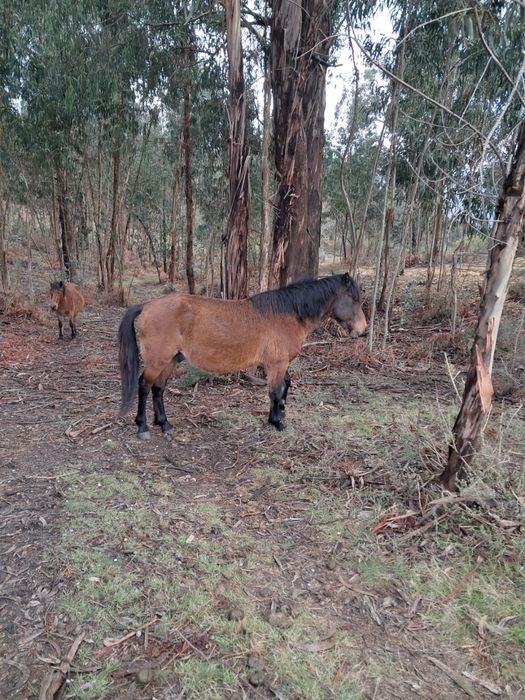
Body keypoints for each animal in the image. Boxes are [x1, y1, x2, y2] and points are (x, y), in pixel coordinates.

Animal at [118, 273, 367, 440]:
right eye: (354, 299)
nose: (363, 330)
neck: (287, 314)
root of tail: (146, 306)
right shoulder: (277, 363)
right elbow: (275, 391)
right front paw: (277, 422)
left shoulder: (279, 364)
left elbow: (284, 386)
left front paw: (278, 415)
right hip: (157, 360)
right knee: (144, 386)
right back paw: (143, 427)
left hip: (170, 360)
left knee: (158, 389)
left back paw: (164, 424)